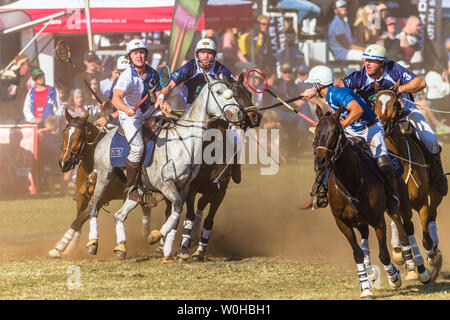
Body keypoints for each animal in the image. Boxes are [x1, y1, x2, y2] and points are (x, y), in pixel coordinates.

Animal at [47, 109, 169, 258]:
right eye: (64, 133)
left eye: (80, 135)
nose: (64, 163)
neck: (91, 167)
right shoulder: (81, 196)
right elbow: (78, 221)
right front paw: (69, 248)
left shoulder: (101, 199)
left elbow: (78, 221)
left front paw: (59, 247)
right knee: (146, 207)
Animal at [86, 74, 248, 262]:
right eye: (219, 92)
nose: (238, 113)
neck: (184, 142)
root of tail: (105, 135)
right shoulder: (165, 184)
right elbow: (176, 208)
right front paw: (155, 237)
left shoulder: (185, 187)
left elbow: (176, 215)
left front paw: (168, 253)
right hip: (104, 175)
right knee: (94, 206)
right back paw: (92, 243)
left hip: (137, 189)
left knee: (119, 214)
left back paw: (121, 247)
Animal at [312, 106, 414, 298]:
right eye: (316, 132)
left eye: (335, 132)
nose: (320, 161)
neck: (351, 181)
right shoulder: (342, 223)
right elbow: (358, 254)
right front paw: (365, 287)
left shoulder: (378, 220)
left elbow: (384, 255)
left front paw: (394, 278)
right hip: (362, 221)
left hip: (402, 205)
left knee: (406, 226)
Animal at [372, 81, 442, 282]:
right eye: (375, 103)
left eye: (395, 103)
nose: (384, 126)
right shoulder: (394, 208)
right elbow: (404, 235)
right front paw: (410, 263)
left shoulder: (421, 203)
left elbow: (425, 235)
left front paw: (431, 258)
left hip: (435, 193)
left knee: (433, 213)